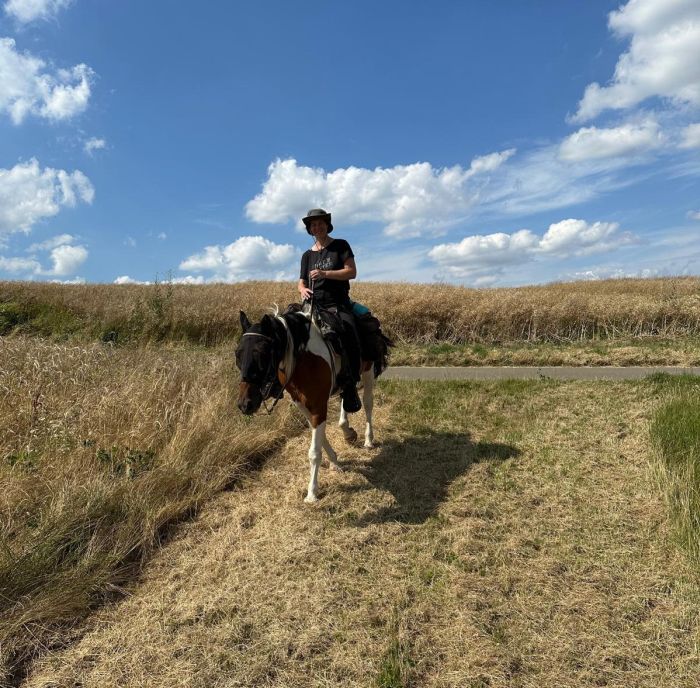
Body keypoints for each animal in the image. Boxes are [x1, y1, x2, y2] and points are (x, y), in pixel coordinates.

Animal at [234, 306, 388, 506]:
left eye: (262, 353)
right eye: (237, 354)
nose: (244, 404)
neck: (302, 358)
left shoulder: (318, 406)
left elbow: (314, 451)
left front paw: (312, 493)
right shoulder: (303, 405)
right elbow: (320, 438)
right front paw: (335, 461)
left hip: (368, 370)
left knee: (368, 403)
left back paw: (369, 439)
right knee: (346, 397)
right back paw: (347, 431)